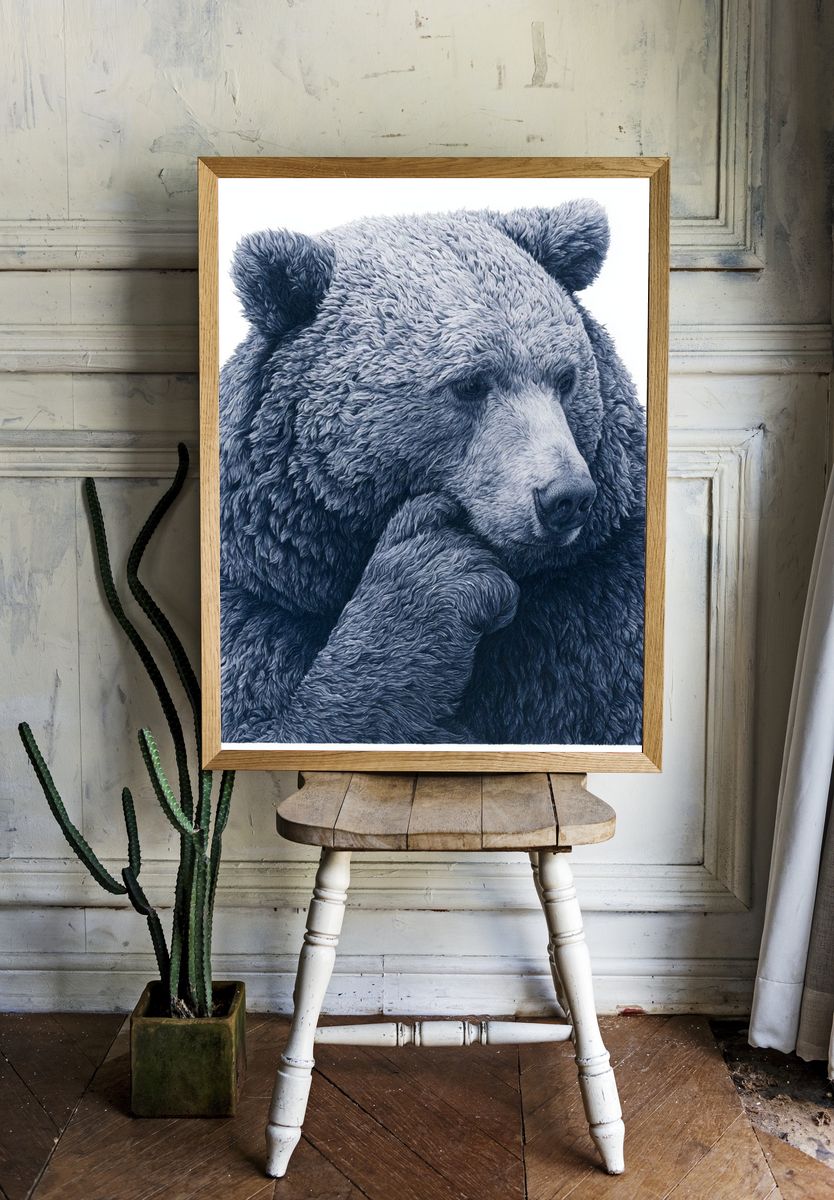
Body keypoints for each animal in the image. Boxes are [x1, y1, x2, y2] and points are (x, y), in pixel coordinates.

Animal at [218, 199, 646, 746]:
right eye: (469, 384)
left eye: (566, 378)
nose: (565, 496)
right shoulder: (258, 602)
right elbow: (270, 719)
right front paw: (434, 577)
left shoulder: (596, 603)